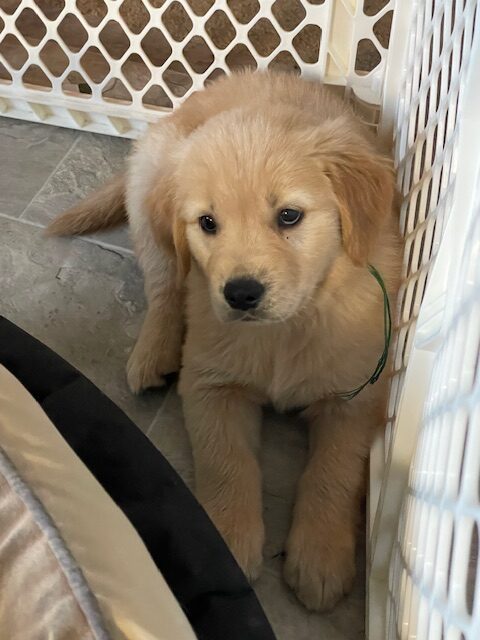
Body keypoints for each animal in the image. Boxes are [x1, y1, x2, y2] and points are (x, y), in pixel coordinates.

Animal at [48, 70, 402, 608]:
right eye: (208, 223)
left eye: (289, 216)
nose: (240, 294)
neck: (287, 328)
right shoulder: (211, 383)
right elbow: (227, 461)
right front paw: (228, 542)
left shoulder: (355, 395)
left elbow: (335, 471)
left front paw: (320, 554)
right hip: (150, 200)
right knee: (165, 287)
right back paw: (153, 352)